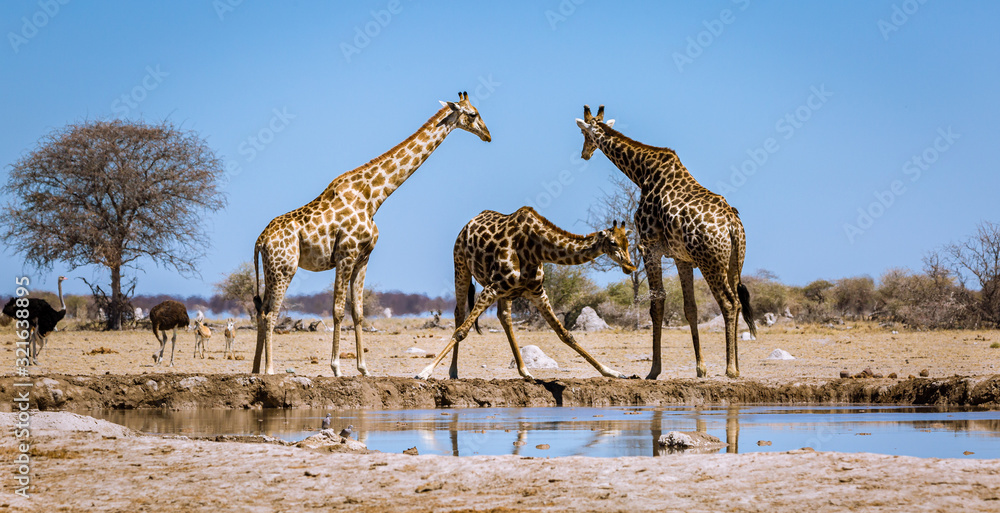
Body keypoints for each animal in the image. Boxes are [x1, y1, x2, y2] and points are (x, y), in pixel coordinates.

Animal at [252, 92, 491, 375]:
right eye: (473, 114)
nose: (488, 135)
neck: (374, 197)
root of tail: (260, 241)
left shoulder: (363, 258)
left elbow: (358, 312)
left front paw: (363, 369)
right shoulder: (345, 255)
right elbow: (337, 310)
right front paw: (336, 368)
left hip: (271, 269)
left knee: (261, 311)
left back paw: (254, 369)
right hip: (284, 268)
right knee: (270, 314)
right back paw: (269, 370)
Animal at [416, 206, 637, 380]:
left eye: (628, 242)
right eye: (613, 243)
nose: (630, 266)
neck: (537, 248)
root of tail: (467, 226)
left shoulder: (537, 293)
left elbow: (565, 334)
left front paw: (612, 372)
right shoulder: (492, 287)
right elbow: (461, 331)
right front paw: (425, 371)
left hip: (504, 293)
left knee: (504, 317)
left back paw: (524, 371)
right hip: (461, 267)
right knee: (459, 314)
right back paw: (453, 371)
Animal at [576, 105, 756, 379]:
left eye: (584, 134)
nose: (584, 154)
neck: (641, 173)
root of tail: (733, 226)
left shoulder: (649, 247)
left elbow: (656, 305)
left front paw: (654, 370)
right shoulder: (682, 258)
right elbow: (690, 308)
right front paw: (700, 368)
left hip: (711, 263)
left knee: (729, 302)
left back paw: (731, 369)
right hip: (734, 263)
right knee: (737, 301)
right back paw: (737, 365)